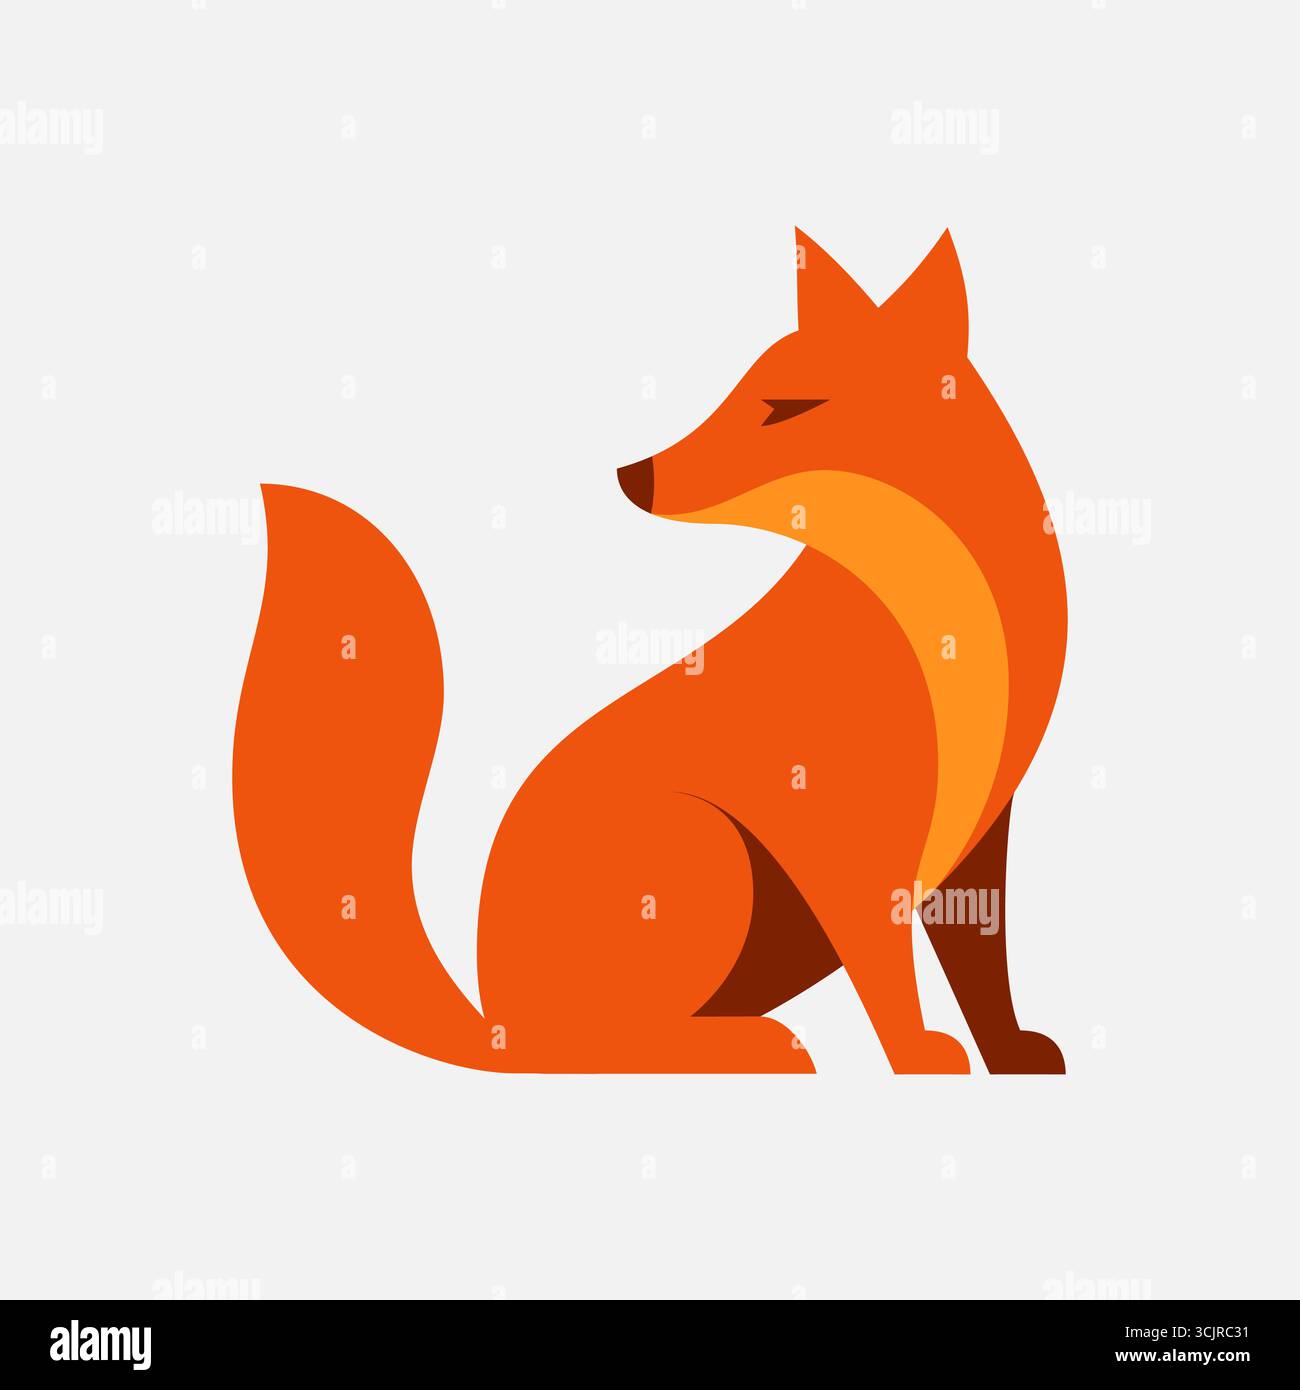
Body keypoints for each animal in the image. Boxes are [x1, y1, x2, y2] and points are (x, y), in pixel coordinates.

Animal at [233, 229, 1068, 1075]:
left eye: (783, 408)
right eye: (743, 390)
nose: (635, 475)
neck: (943, 624)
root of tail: (493, 1022)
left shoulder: (982, 838)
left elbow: (983, 965)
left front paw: (1011, 1055)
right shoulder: (840, 839)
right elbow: (890, 976)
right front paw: (922, 1060)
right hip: (707, 846)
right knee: (600, 1045)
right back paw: (755, 1046)